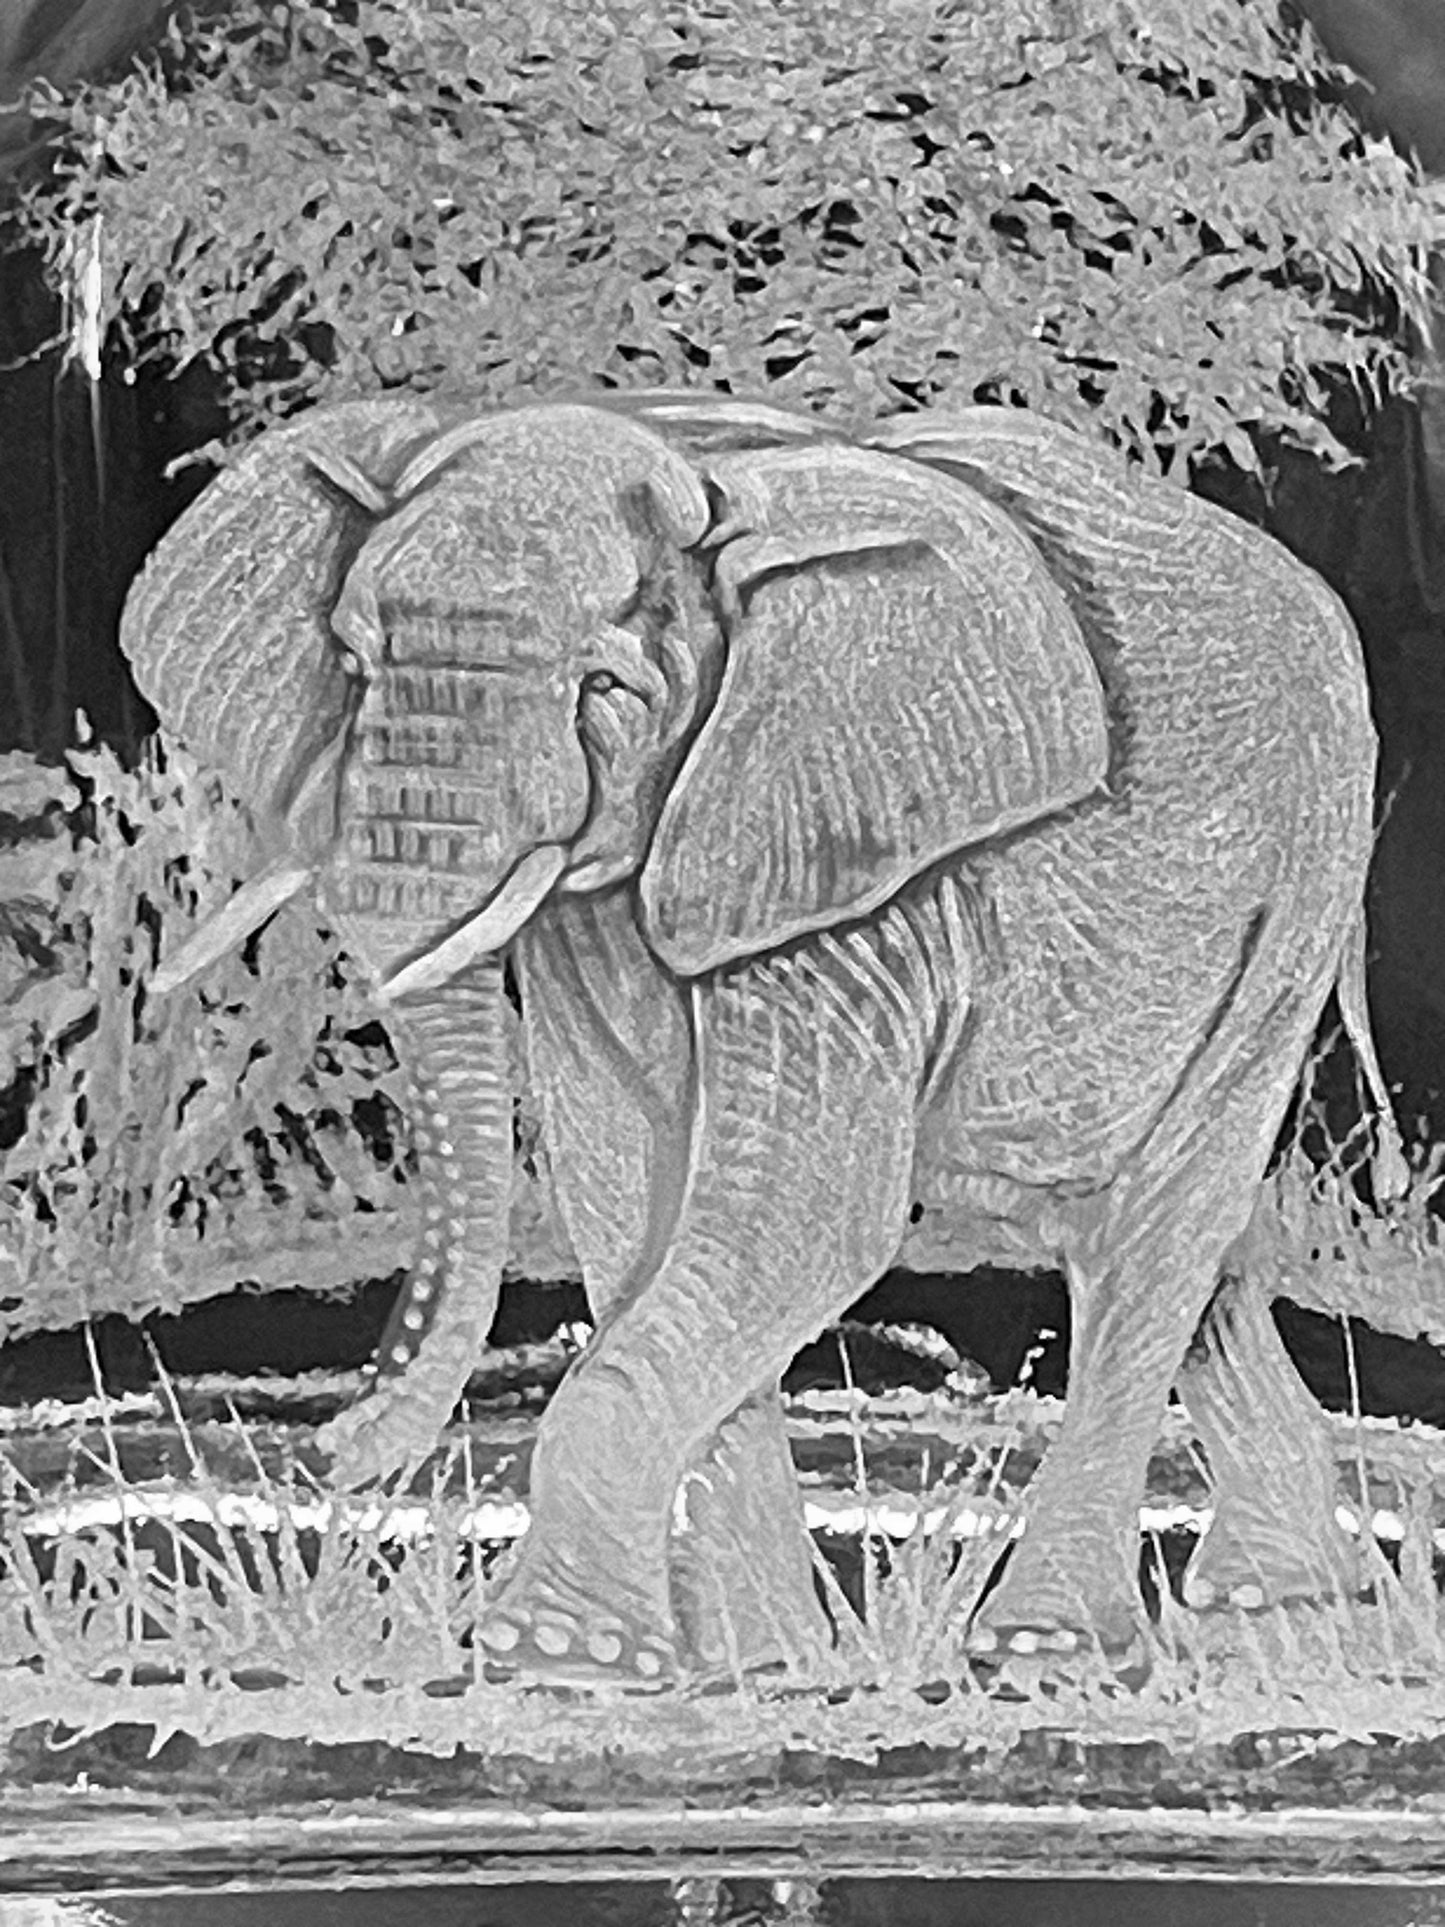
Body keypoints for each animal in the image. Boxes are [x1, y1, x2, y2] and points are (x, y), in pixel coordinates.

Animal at [117, 387, 1405, 1687]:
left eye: (604, 685)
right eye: (351, 662)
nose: (321, 1453)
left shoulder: (846, 860)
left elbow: (802, 1219)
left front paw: (557, 1654)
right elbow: (634, 1200)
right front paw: (753, 1663)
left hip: (1296, 880)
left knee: (1153, 1227)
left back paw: (1051, 1650)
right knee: (1176, 1240)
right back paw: (1285, 1599)